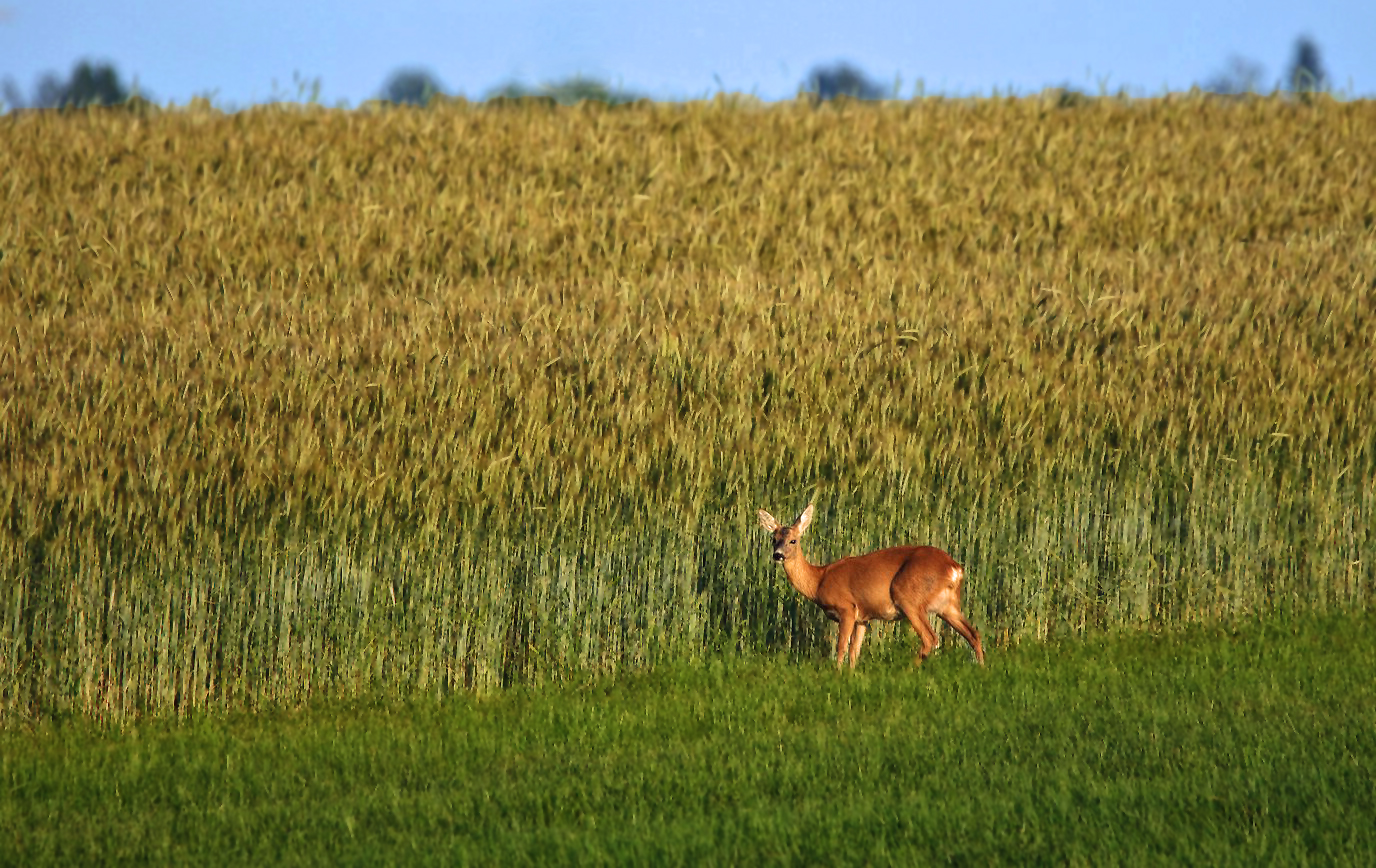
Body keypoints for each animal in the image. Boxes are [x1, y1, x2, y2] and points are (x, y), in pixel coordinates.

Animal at [759, 503, 985, 671]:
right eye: (773, 539)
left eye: (793, 540)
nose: (778, 555)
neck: (819, 580)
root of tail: (955, 568)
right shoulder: (863, 618)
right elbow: (854, 651)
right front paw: (851, 674)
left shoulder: (847, 608)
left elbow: (841, 646)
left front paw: (837, 673)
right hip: (947, 605)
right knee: (974, 634)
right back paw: (982, 668)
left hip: (908, 597)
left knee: (931, 638)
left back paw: (908, 670)